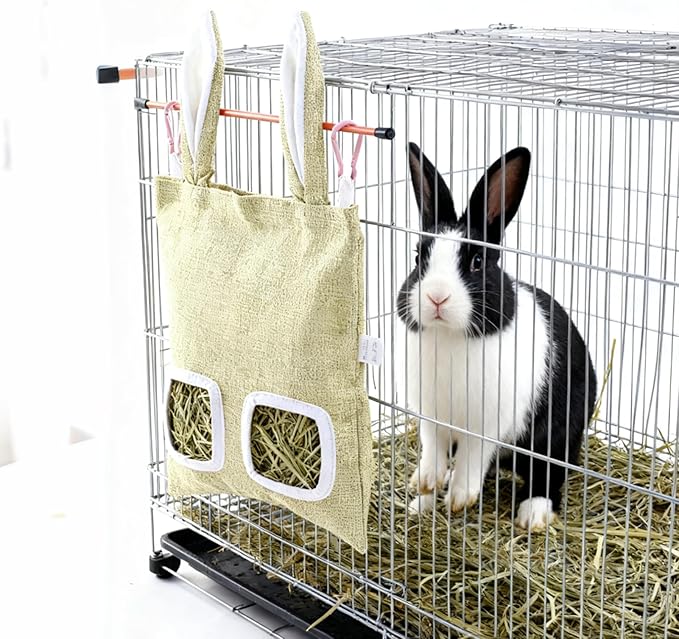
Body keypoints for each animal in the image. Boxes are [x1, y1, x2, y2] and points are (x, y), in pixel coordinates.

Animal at [398, 142, 597, 531]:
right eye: (418, 257)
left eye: (477, 262)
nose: (436, 297)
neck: (449, 337)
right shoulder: (431, 417)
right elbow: (432, 449)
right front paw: (425, 482)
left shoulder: (489, 420)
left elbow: (475, 454)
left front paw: (460, 496)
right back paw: (420, 502)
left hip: (556, 437)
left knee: (547, 475)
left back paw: (532, 515)